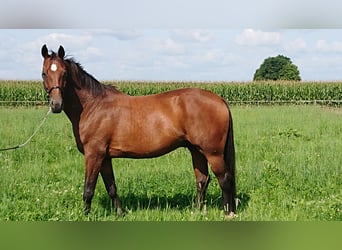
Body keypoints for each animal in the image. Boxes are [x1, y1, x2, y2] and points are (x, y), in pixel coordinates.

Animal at [40, 45, 238, 219]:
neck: (93, 105)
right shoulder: (105, 157)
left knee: (224, 179)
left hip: (213, 153)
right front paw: (120, 213)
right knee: (202, 180)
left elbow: (88, 189)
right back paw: (196, 211)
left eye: (65, 73)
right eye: (44, 73)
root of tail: (220, 99)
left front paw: (86, 215)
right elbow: (111, 187)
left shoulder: (93, 154)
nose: (56, 105)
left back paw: (228, 213)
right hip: (196, 150)